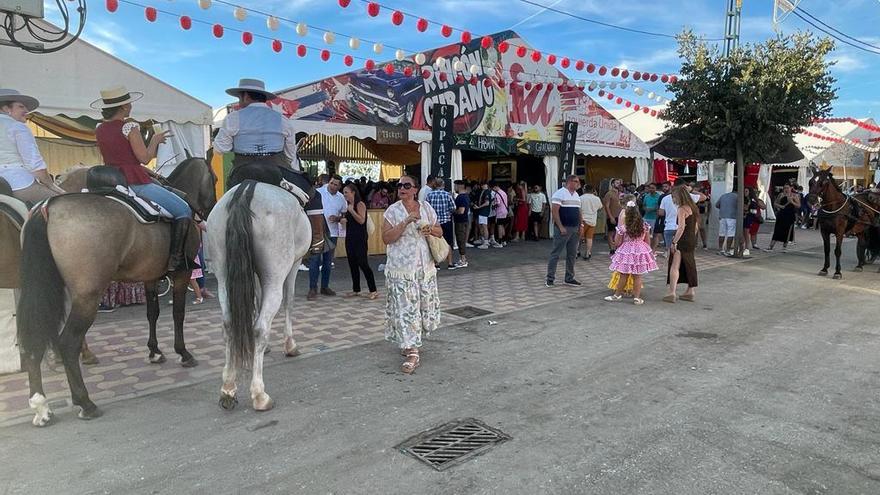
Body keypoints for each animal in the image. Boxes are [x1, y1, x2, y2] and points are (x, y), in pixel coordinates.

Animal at [17, 159, 217, 426]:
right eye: (215, 178)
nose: (210, 212)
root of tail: (49, 207)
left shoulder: (150, 277)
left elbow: (152, 313)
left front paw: (155, 352)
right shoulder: (182, 275)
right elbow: (178, 314)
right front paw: (183, 352)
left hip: (48, 291)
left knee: (36, 339)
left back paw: (41, 406)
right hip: (87, 296)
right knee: (68, 343)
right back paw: (85, 403)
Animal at [208, 180, 312, 412]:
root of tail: (246, 191)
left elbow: (255, 300)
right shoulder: (294, 264)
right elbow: (290, 301)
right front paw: (290, 345)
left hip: (223, 278)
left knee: (228, 324)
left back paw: (228, 388)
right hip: (275, 275)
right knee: (260, 327)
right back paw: (259, 394)